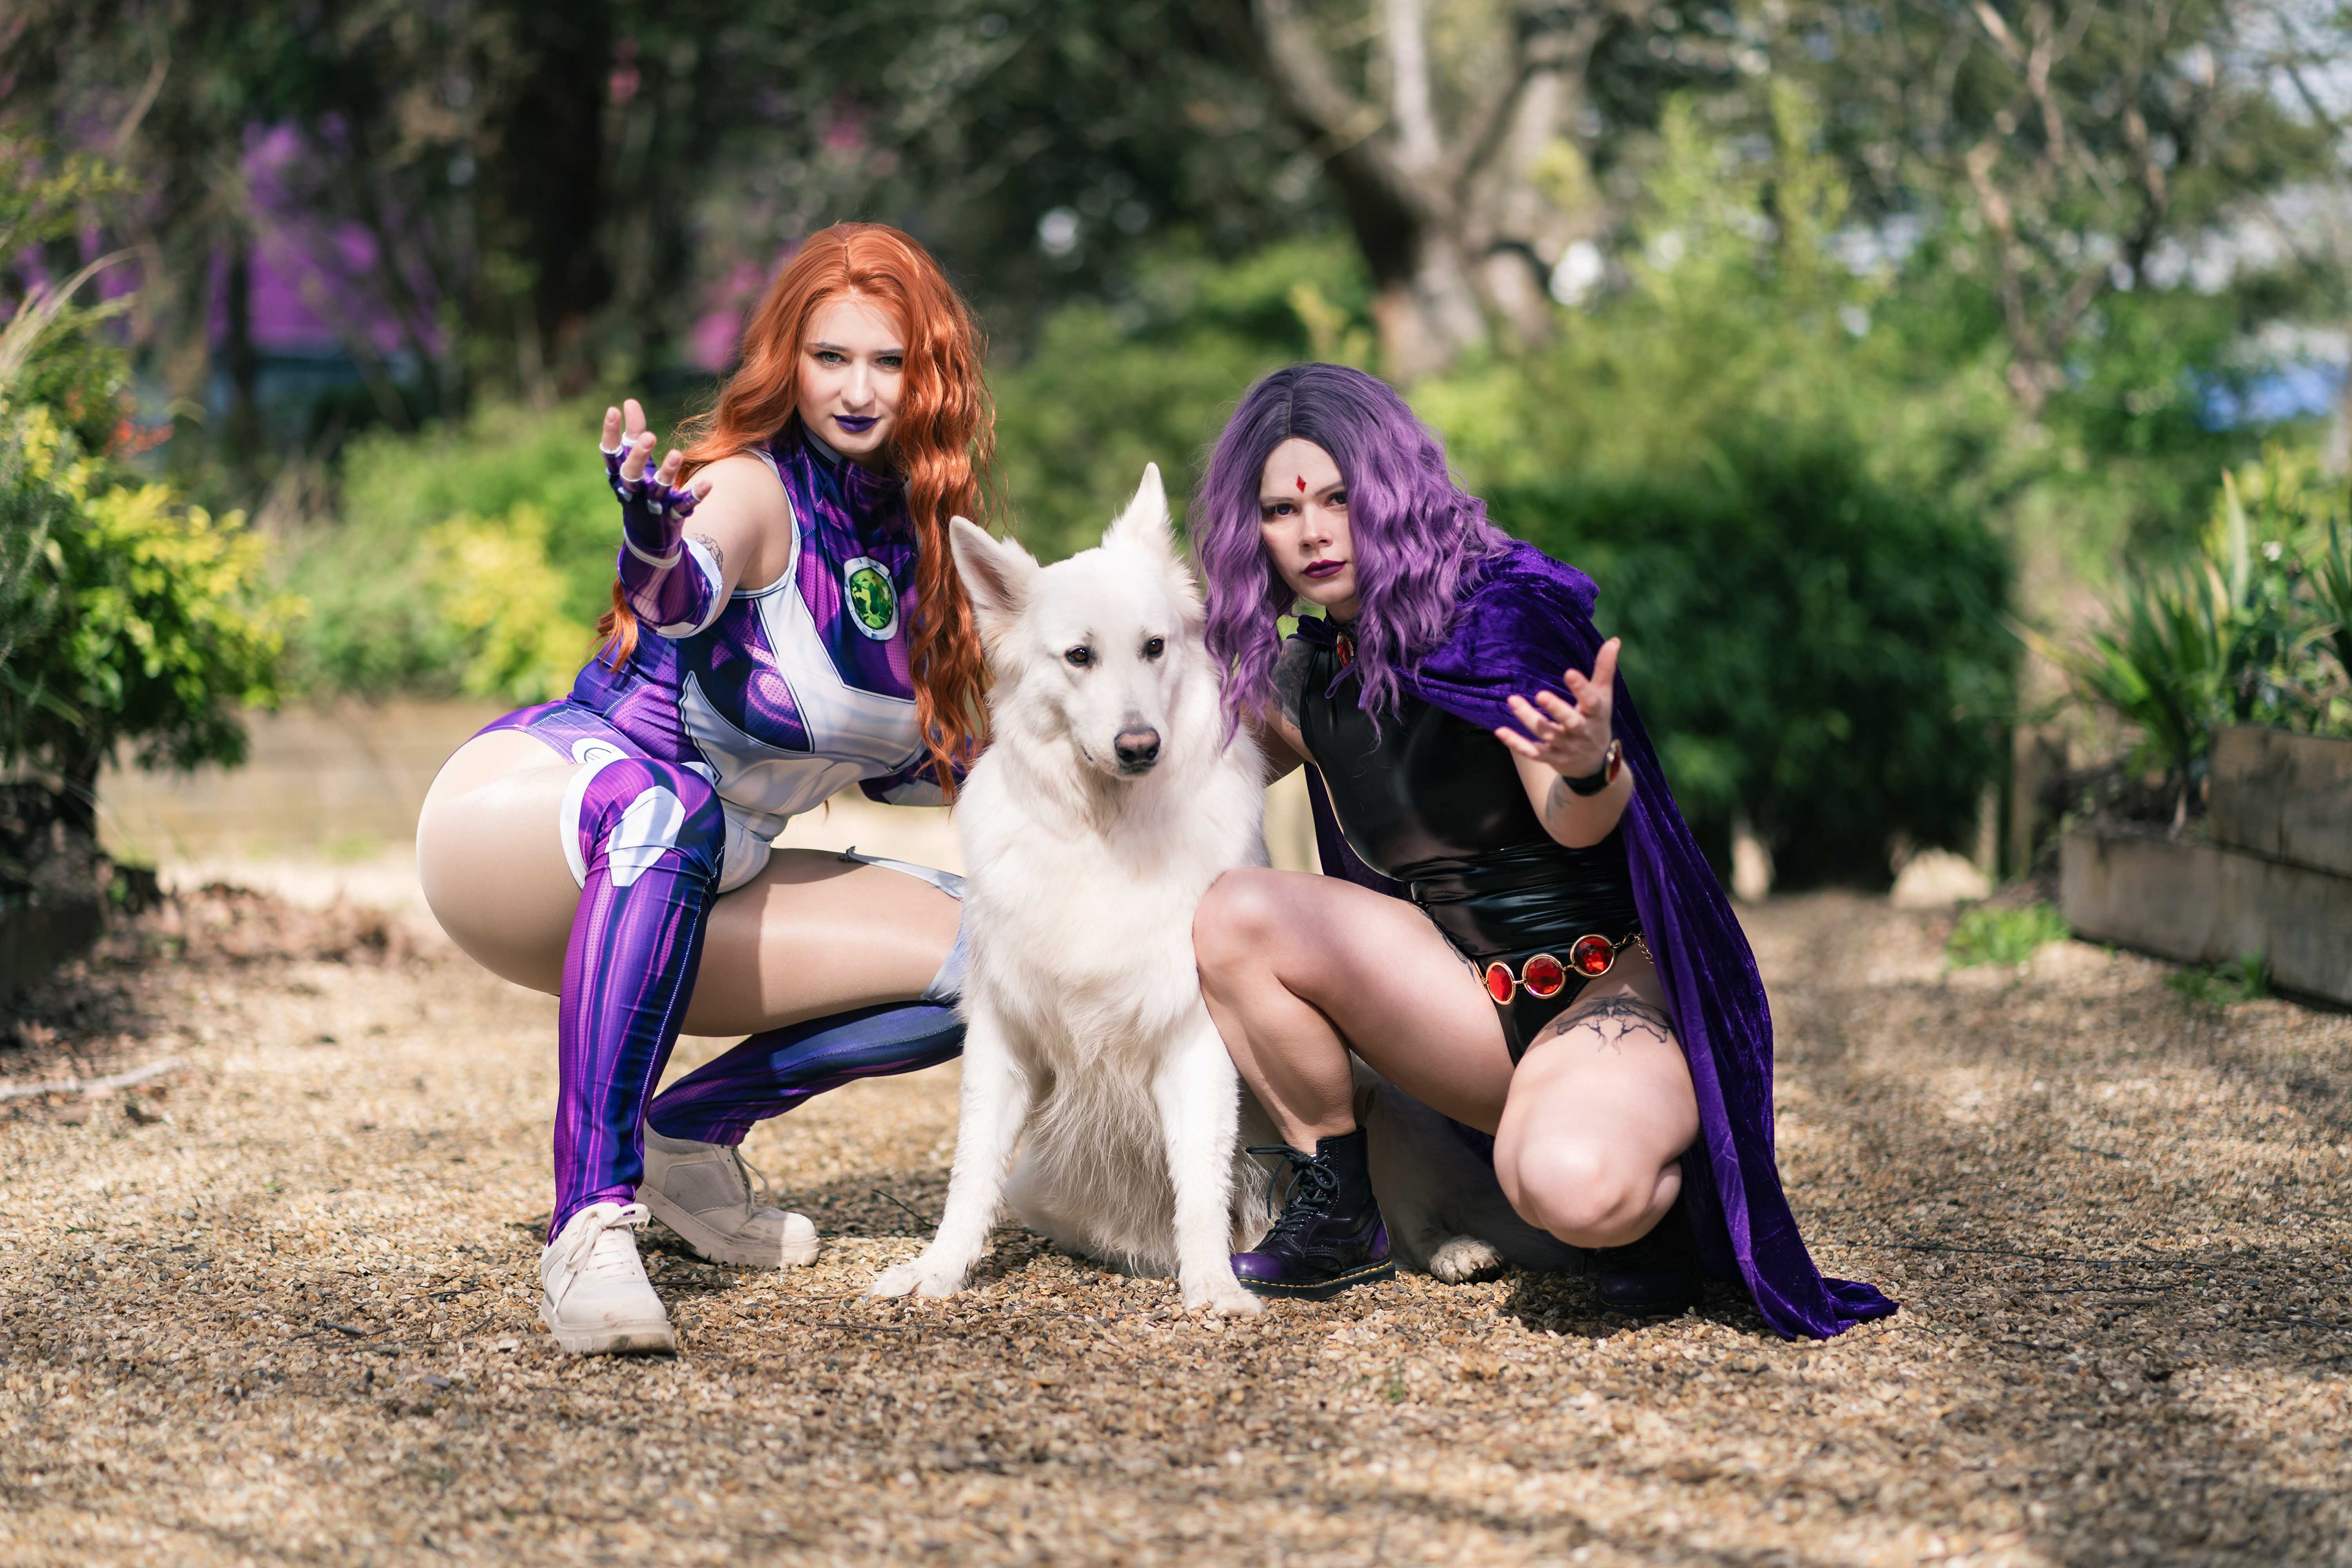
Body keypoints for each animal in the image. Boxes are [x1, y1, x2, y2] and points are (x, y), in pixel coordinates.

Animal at [868, 466, 1572, 1315]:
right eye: (1078, 656)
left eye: (1154, 646)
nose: (1140, 746)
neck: (1108, 833)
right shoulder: (1004, 1036)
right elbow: (972, 1172)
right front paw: (938, 1270)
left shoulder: (1195, 1036)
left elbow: (1200, 1175)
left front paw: (1211, 1285)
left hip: (1388, 1096)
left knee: (1403, 1216)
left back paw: (1452, 1249)